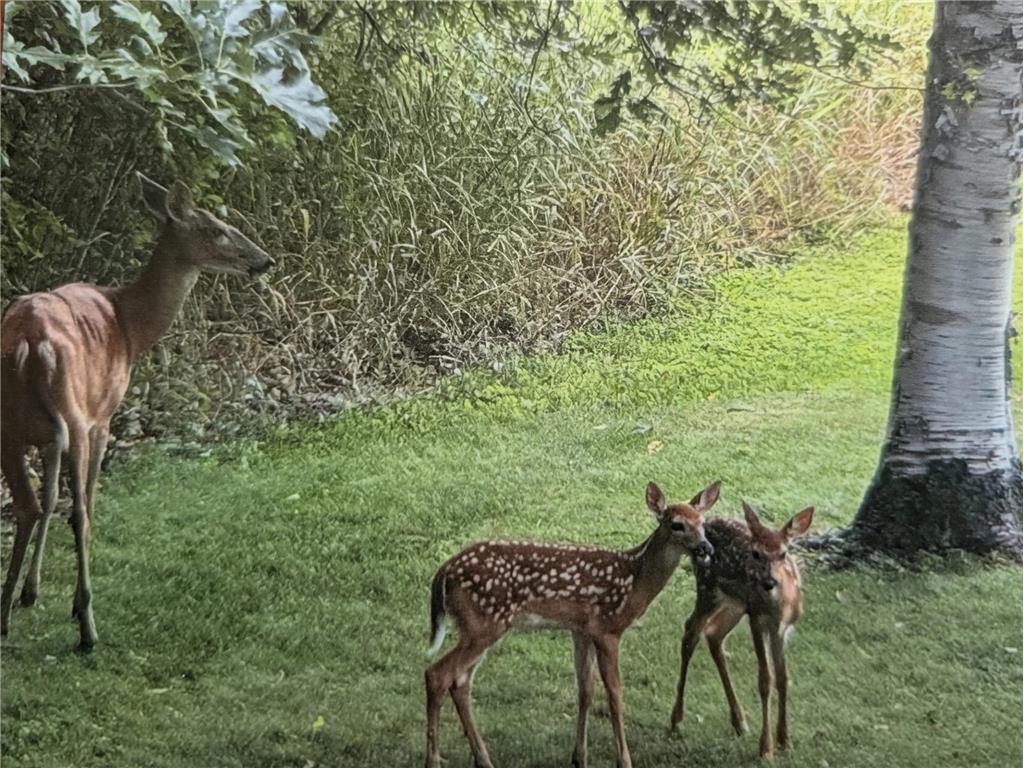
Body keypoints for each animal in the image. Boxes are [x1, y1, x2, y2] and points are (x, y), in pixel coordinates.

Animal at [0, 173, 273, 650]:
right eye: (218, 229)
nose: (265, 260)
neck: (128, 324)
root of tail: (31, 345)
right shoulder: (102, 415)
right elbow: (81, 504)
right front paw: (65, 604)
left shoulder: (49, 437)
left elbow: (49, 499)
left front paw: (30, 592)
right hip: (74, 413)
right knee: (79, 511)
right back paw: (87, 626)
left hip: (8, 423)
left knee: (28, 506)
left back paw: (4, 616)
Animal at [424, 480, 721, 768]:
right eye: (677, 524)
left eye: (703, 523)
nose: (706, 548)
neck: (634, 581)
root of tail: (444, 571)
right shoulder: (607, 629)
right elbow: (615, 695)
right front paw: (624, 760)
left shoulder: (581, 630)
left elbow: (585, 691)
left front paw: (579, 757)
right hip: (484, 623)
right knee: (438, 674)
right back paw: (434, 760)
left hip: (480, 626)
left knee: (460, 682)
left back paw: (483, 759)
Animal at [668, 501, 814, 760]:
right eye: (756, 554)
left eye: (783, 553)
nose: (768, 582)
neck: (778, 607)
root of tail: (704, 521)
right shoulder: (757, 618)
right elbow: (765, 679)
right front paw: (766, 748)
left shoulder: (781, 628)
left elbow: (783, 678)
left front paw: (785, 741)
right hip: (708, 588)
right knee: (691, 632)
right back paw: (677, 722)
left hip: (734, 605)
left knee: (713, 634)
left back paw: (739, 722)